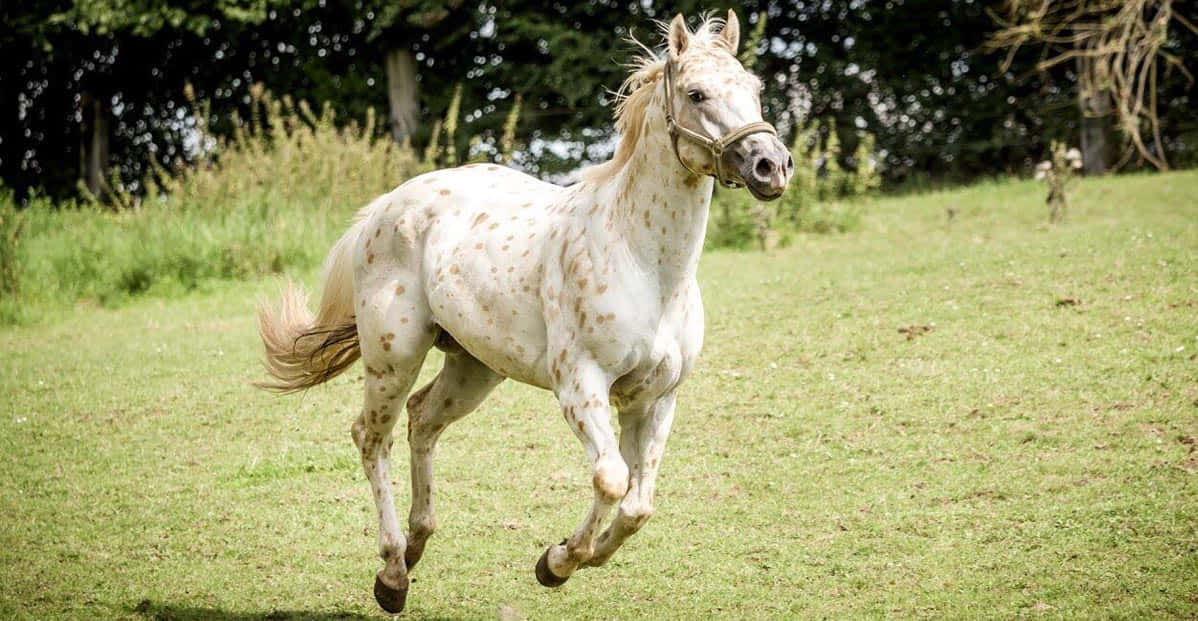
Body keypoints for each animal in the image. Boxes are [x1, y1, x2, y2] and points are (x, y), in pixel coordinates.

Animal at [256, 11, 792, 613]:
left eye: (755, 89)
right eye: (697, 93)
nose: (772, 165)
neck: (646, 265)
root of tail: (384, 208)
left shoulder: (656, 398)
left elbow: (637, 505)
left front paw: (576, 556)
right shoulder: (580, 385)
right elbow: (611, 480)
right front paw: (557, 562)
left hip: (474, 367)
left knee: (422, 420)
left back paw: (417, 547)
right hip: (393, 358)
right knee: (372, 437)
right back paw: (392, 574)